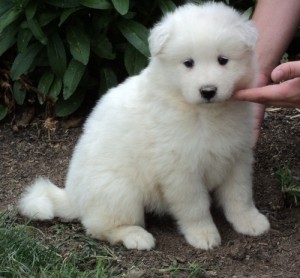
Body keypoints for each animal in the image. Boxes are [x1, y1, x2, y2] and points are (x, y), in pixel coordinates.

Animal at [17, 1, 270, 250]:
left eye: (223, 60)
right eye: (188, 63)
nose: (208, 91)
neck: (203, 114)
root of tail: (72, 196)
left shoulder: (237, 156)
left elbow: (240, 195)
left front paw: (250, 221)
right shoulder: (181, 170)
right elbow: (195, 207)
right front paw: (203, 235)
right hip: (120, 191)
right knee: (99, 226)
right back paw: (136, 236)